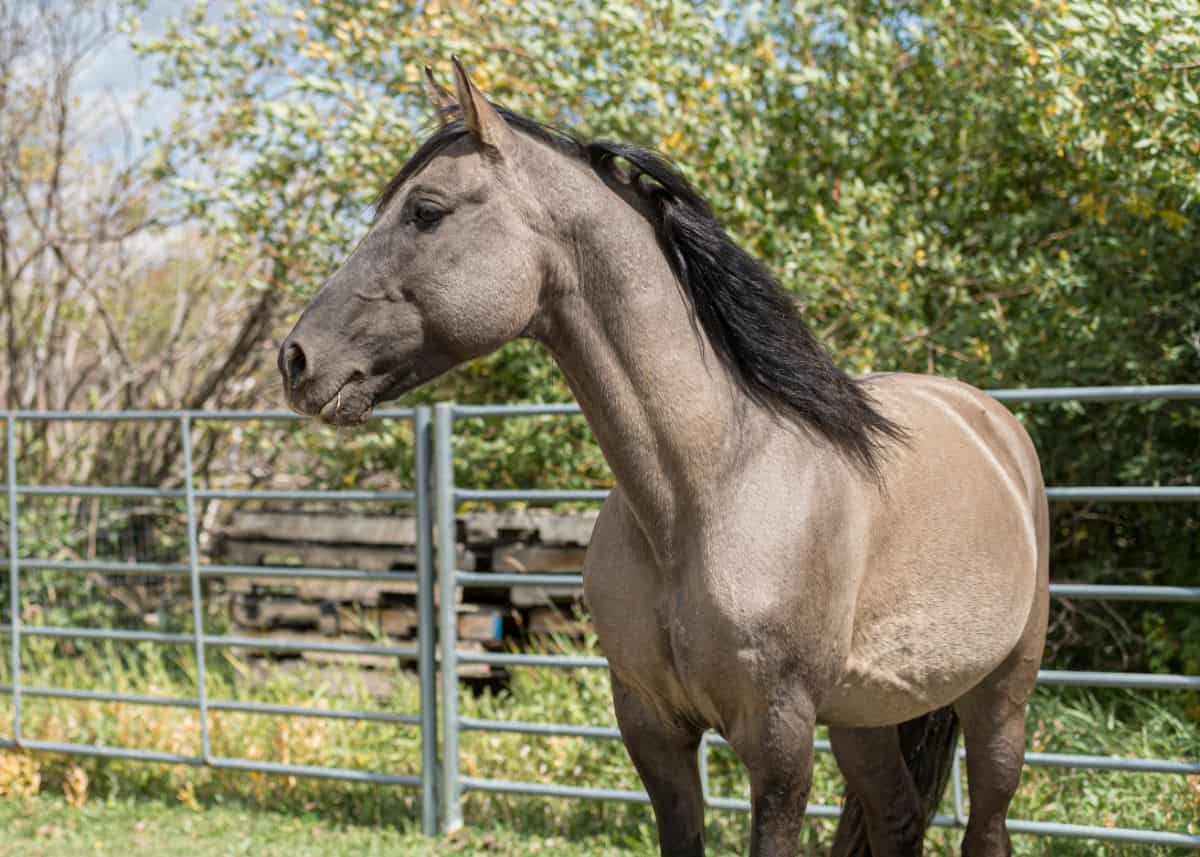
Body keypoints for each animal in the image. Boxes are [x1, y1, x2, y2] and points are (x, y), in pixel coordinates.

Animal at [276, 60, 1046, 854]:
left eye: (425, 211)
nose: (296, 359)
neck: (705, 490)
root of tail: (990, 421)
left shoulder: (780, 746)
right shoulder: (653, 732)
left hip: (1001, 696)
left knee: (987, 826)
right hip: (865, 713)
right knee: (898, 816)